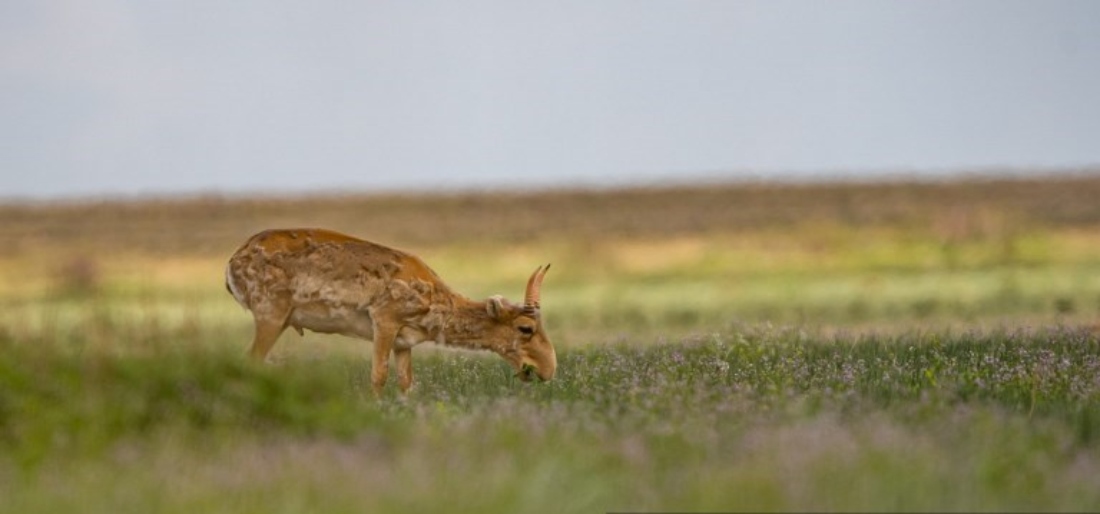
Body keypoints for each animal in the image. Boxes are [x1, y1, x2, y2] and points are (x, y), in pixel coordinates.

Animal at [224, 228, 556, 394]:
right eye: (525, 328)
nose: (550, 370)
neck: (433, 296)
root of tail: (234, 259)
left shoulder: (403, 343)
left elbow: (405, 381)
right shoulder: (384, 323)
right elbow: (378, 375)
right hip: (270, 317)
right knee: (249, 360)